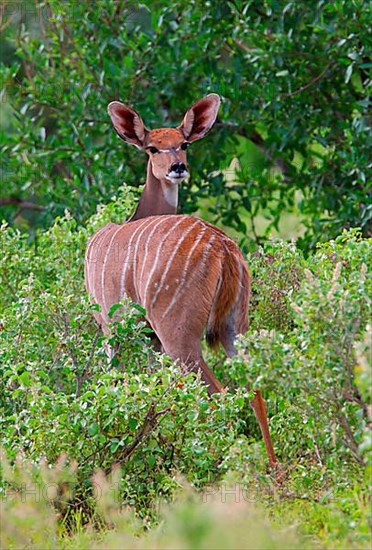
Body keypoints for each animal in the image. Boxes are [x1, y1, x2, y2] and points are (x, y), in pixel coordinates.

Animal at [84, 95, 276, 470]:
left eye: (183, 143)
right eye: (153, 148)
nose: (177, 168)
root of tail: (224, 248)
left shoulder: (113, 329)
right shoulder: (148, 340)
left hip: (179, 335)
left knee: (217, 394)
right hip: (235, 326)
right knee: (254, 390)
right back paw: (275, 471)